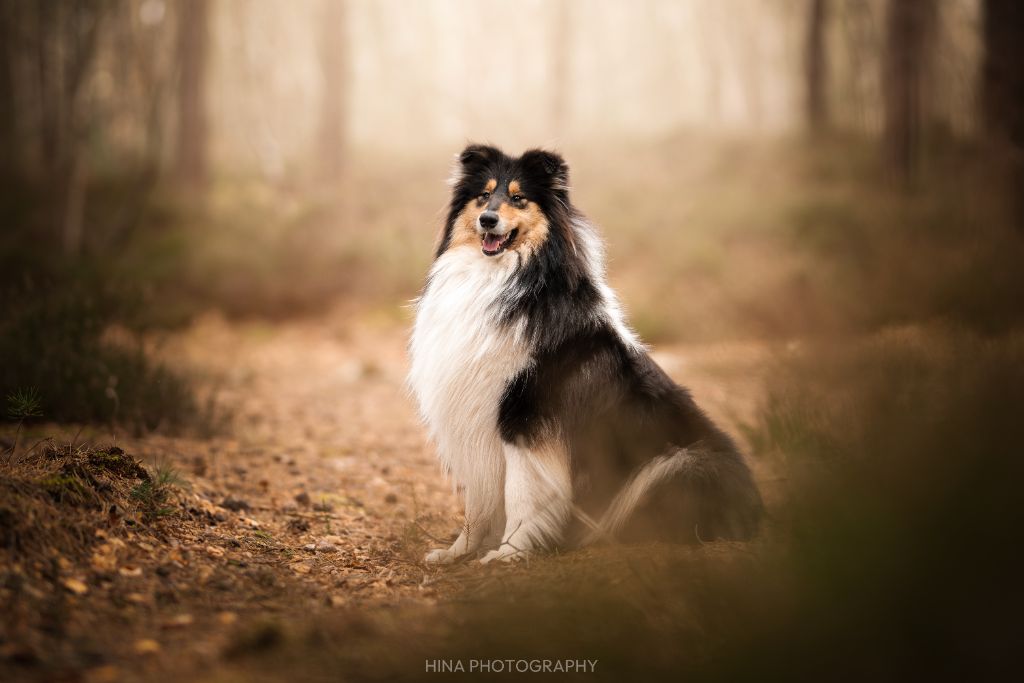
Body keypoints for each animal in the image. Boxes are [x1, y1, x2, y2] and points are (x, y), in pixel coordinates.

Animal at [407, 145, 761, 565]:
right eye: (484, 194)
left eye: (518, 198)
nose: (487, 219)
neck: (500, 277)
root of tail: (760, 511)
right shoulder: (475, 422)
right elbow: (479, 504)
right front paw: (455, 553)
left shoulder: (525, 419)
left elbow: (520, 494)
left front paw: (507, 553)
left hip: (680, 465)